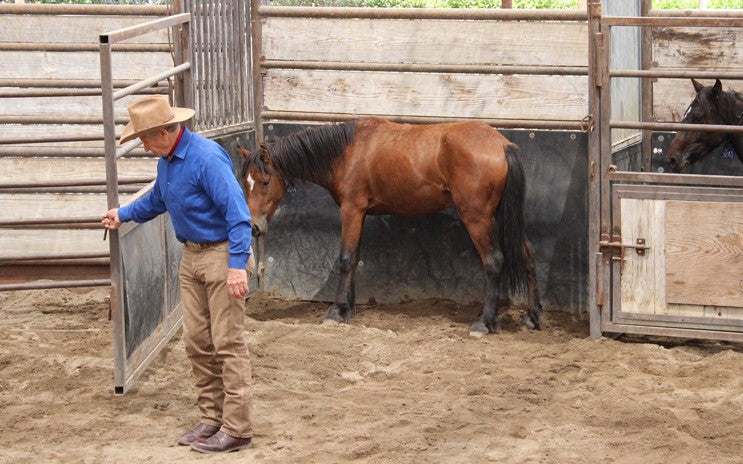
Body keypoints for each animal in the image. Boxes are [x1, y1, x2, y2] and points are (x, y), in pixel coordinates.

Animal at [238, 117, 543, 335]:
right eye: (245, 181)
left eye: (265, 181)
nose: (253, 227)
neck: (348, 152)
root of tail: (502, 144)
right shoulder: (360, 213)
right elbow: (355, 259)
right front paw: (348, 309)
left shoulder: (351, 209)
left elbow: (346, 259)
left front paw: (337, 311)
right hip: (500, 217)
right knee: (527, 255)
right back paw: (532, 316)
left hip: (477, 218)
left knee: (494, 262)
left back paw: (485, 322)